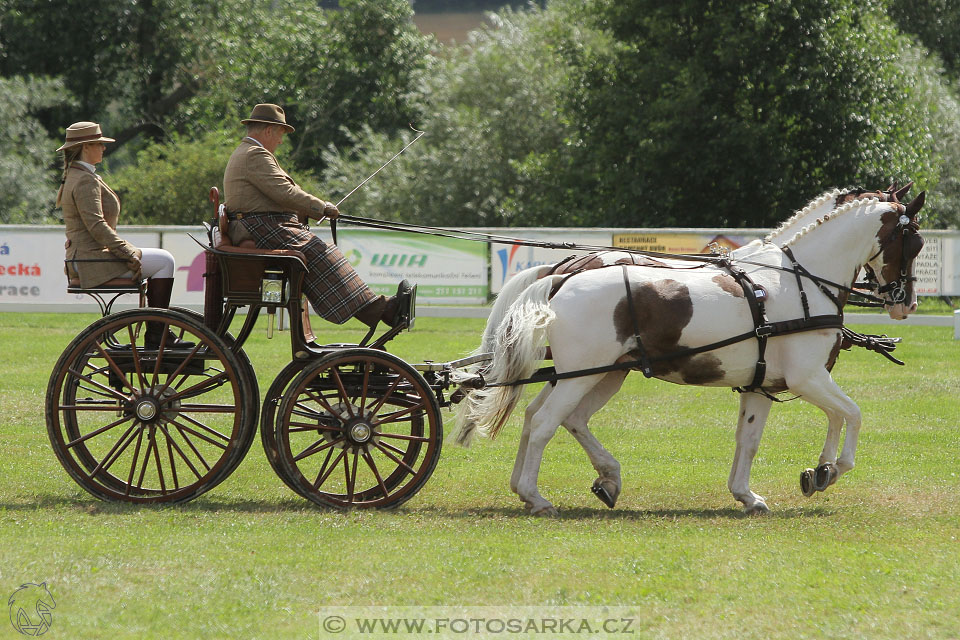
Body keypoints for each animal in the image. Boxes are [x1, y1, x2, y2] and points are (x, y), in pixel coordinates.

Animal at [456, 190, 924, 516]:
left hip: (600, 373)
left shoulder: (762, 385)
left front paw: (754, 492)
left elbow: (751, 440)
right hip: (585, 374)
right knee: (546, 423)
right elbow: (852, 414)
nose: (906, 303)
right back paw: (536, 496)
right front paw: (829, 469)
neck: (801, 283)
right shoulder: (808, 378)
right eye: (913, 243)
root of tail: (561, 278)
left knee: (541, 416)